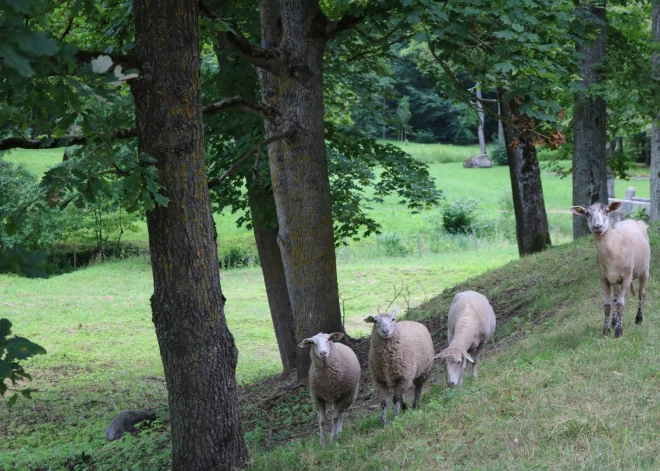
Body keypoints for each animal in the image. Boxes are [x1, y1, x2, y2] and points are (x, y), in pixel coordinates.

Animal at [568, 203, 648, 340]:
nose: (597, 227)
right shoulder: (603, 278)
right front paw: (606, 331)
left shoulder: (627, 277)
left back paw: (638, 319)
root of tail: (633, 220)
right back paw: (614, 321)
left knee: (641, 293)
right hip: (615, 280)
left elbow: (620, 305)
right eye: (587, 214)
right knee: (615, 296)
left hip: (644, 269)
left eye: (607, 211)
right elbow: (607, 306)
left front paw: (618, 333)